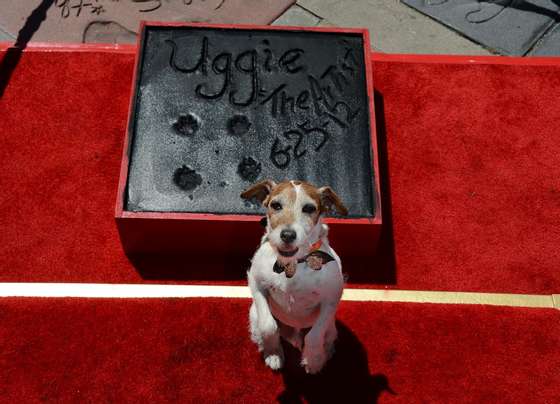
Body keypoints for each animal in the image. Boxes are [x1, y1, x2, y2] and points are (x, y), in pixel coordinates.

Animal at [242, 178, 348, 374]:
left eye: (309, 208)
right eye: (275, 205)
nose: (287, 235)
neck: (293, 264)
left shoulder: (330, 300)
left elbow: (314, 336)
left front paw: (313, 360)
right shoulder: (256, 283)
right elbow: (269, 326)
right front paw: (273, 352)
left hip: (331, 326)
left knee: (324, 336)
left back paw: (325, 352)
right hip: (253, 314)